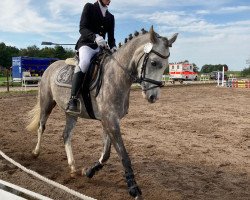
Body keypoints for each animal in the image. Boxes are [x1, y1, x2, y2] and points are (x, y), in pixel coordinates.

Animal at [25, 26, 178, 198]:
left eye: (166, 65)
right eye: (153, 62)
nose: (153, 97)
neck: (116, 75)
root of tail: (50, 66)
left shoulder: (110, 120)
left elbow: (106, 154)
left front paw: (89, 171)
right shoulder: (109, 120)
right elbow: (123, 155)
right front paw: (133, 187)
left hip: (71, 114)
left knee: (66, 135)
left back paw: (73, 167)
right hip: (47, 103)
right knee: (41, 127)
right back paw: (36, 152)